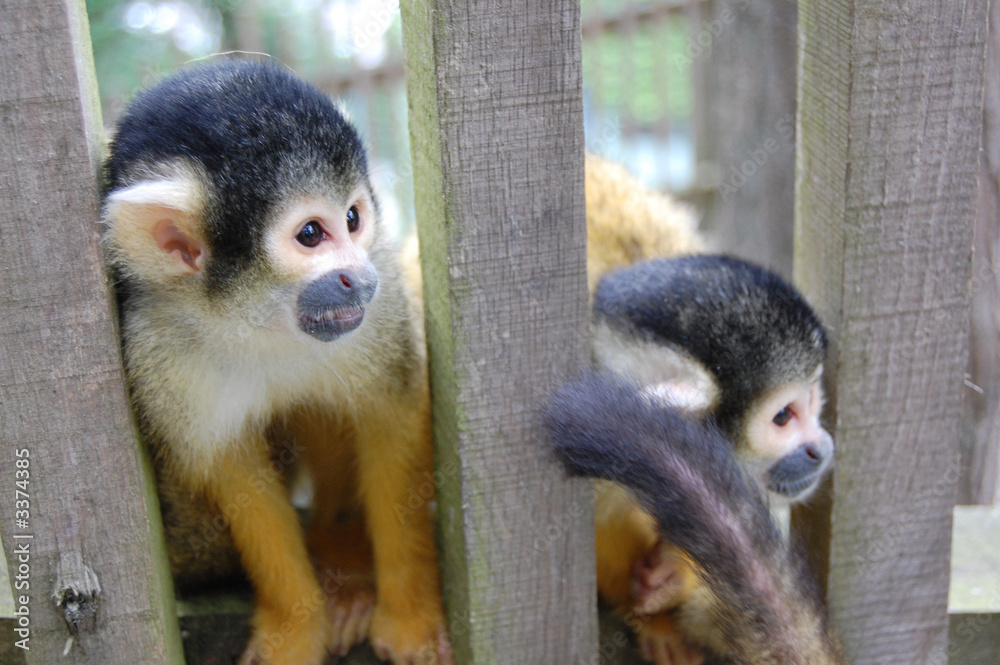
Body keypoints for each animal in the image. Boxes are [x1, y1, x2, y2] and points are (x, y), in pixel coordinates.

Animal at [100, 60, 449, 665]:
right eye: (311, 234)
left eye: (353, 219)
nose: (360, 276)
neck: (256, 321)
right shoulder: (157, 352)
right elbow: (236, 475)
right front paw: (296, 626)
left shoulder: (379, 310)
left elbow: (392, 418)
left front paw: (409, 617)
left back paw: (342, 556)